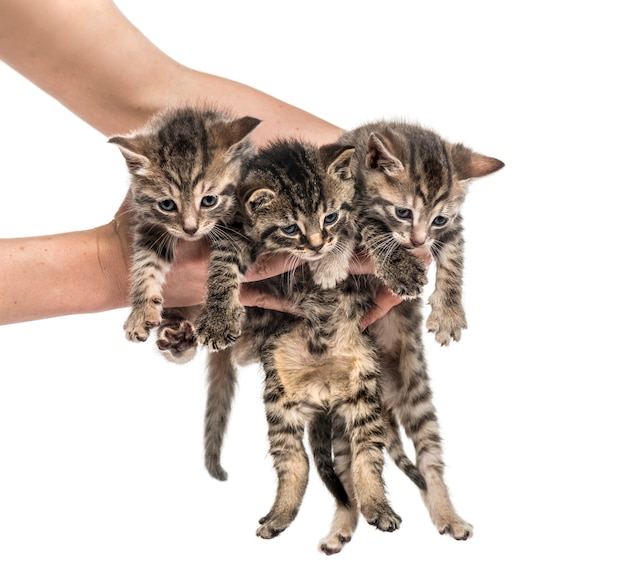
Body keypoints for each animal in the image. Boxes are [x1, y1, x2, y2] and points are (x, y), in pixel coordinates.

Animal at [195, 138, 404, 536]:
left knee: (367, 456)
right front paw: (217, 317)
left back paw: (377, 506)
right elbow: (224, 263)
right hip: (280, 403)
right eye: (290, 228)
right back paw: (280, 514)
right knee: (295, 463)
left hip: (363, 395)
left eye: (330, 217)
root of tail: (322, 393)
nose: (317, 245)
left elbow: (365, 225)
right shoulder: (235, 233)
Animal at [312, 119, 502, 552]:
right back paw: (342, 526)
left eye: (439, 220)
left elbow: (454, 259)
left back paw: (448, 515)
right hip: (344, 420)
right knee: (347, 474)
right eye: (403, 212)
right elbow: (360, 225)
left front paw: (449, 311)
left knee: (430, 466)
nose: (417, 241)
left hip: (416, 394)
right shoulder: (350, 204)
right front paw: (338, 262)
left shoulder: (452, 231)